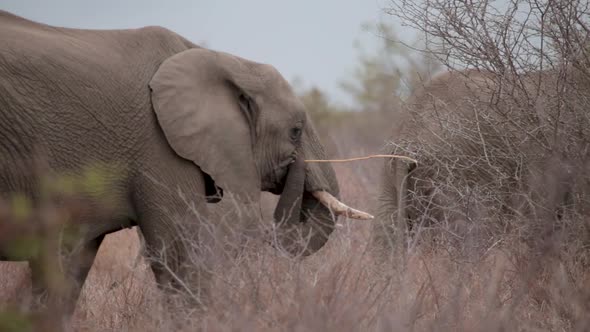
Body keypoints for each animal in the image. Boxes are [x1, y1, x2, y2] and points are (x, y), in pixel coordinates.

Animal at [0, 10, 370, 320]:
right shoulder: (157, 145)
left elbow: (66, 272)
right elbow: (179, 257)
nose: (298, 165)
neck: (224, 61)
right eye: (295, 131)